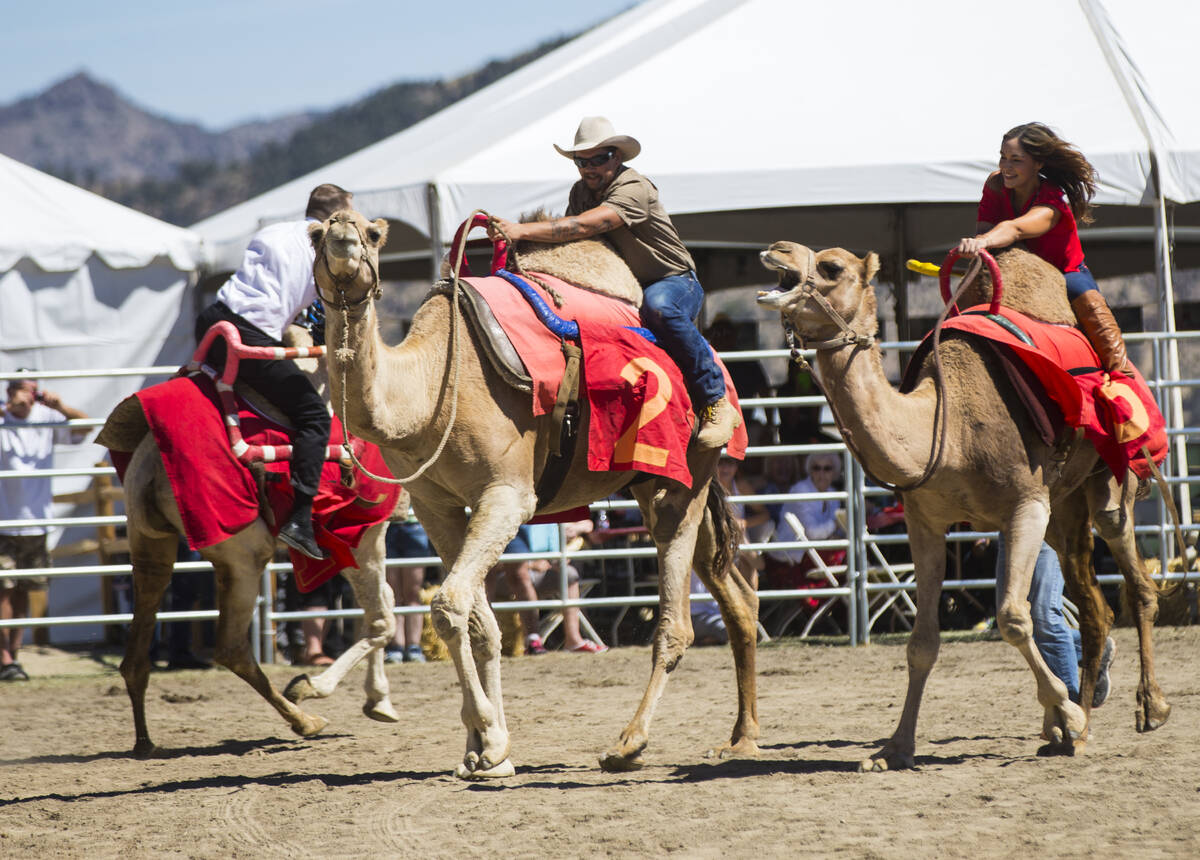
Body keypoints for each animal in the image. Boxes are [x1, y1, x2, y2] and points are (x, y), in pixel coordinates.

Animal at [98, 323, 398, 758]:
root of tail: (154, 468)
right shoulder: (365, 531)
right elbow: (381, 620)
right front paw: (313, 686)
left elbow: (384, 606)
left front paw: (379, 701)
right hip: (244, 556)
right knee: (231, 648)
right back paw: (304, 720)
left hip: (149, 547)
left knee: (136, 654)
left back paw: (144, 742)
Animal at [309, 209, 758, 777]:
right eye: (316, 235)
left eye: (371, 233)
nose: (342, 232)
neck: (431, 390)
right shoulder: (436, 506)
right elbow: (481, 622)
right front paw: (482, 750)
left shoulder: (507, 494)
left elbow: (449, 605)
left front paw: (491, 740)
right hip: (652, 484)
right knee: (738, 595)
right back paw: (741, 740)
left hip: (686, 476)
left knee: (677, 619)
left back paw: (629, 743)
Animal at [758, 243, 1171, 772]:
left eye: (832, 268)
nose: (777, 250)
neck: (946, 428)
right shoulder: (925, 521)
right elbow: (922, 642)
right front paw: (893, 749)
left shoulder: (1025, 504)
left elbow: (1013, 618)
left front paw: (1069, 715)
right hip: (1063, 510)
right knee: (1095, 608)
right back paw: (1073, 728)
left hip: (1110, 485)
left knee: (1136, 583)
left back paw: (1147, 708)